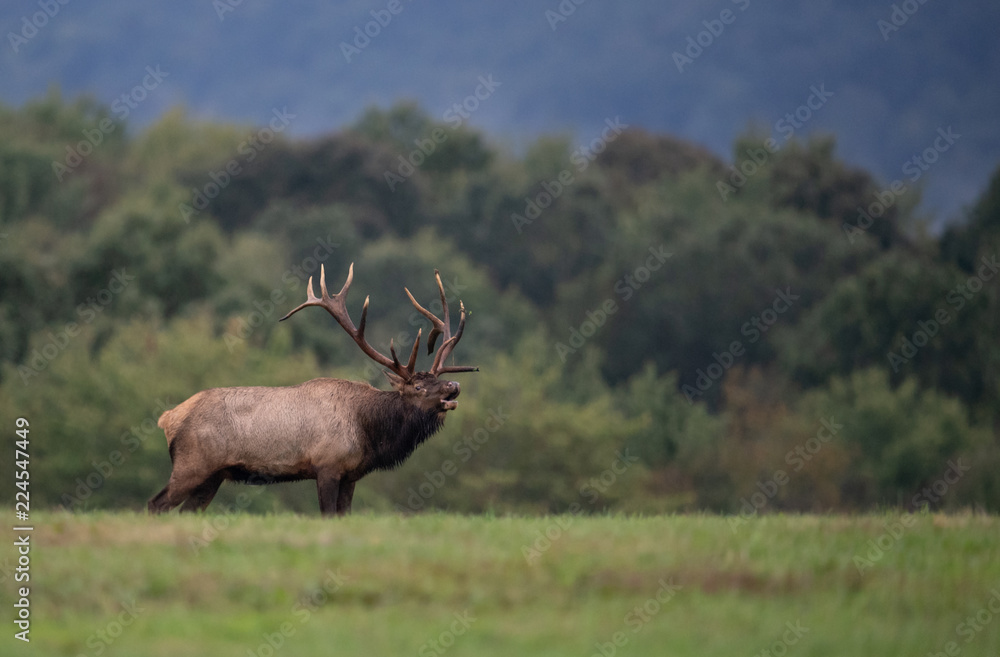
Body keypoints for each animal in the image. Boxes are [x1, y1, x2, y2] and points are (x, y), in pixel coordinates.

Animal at [148, 263, 477, 517]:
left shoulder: (350, 474)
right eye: (419, 386)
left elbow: (343, 515)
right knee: (156, 504)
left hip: (212, 475)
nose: (454, 385)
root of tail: (168, 418)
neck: (368, 432)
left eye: (437, 381)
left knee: (187, 511)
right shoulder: (327, 465)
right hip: (191, 464)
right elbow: (326, 514)